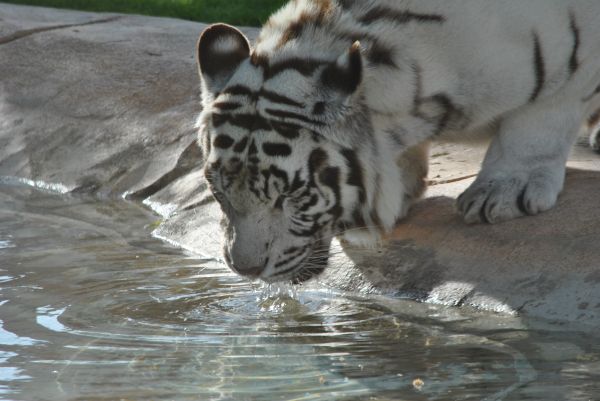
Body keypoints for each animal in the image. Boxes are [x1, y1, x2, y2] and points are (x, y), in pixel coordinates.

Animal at [197, 0, 600, 282]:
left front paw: (502, 194)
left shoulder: (576, 60)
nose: (245, 269)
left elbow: (539, 122)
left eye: (291, 196)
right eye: (218, 192)